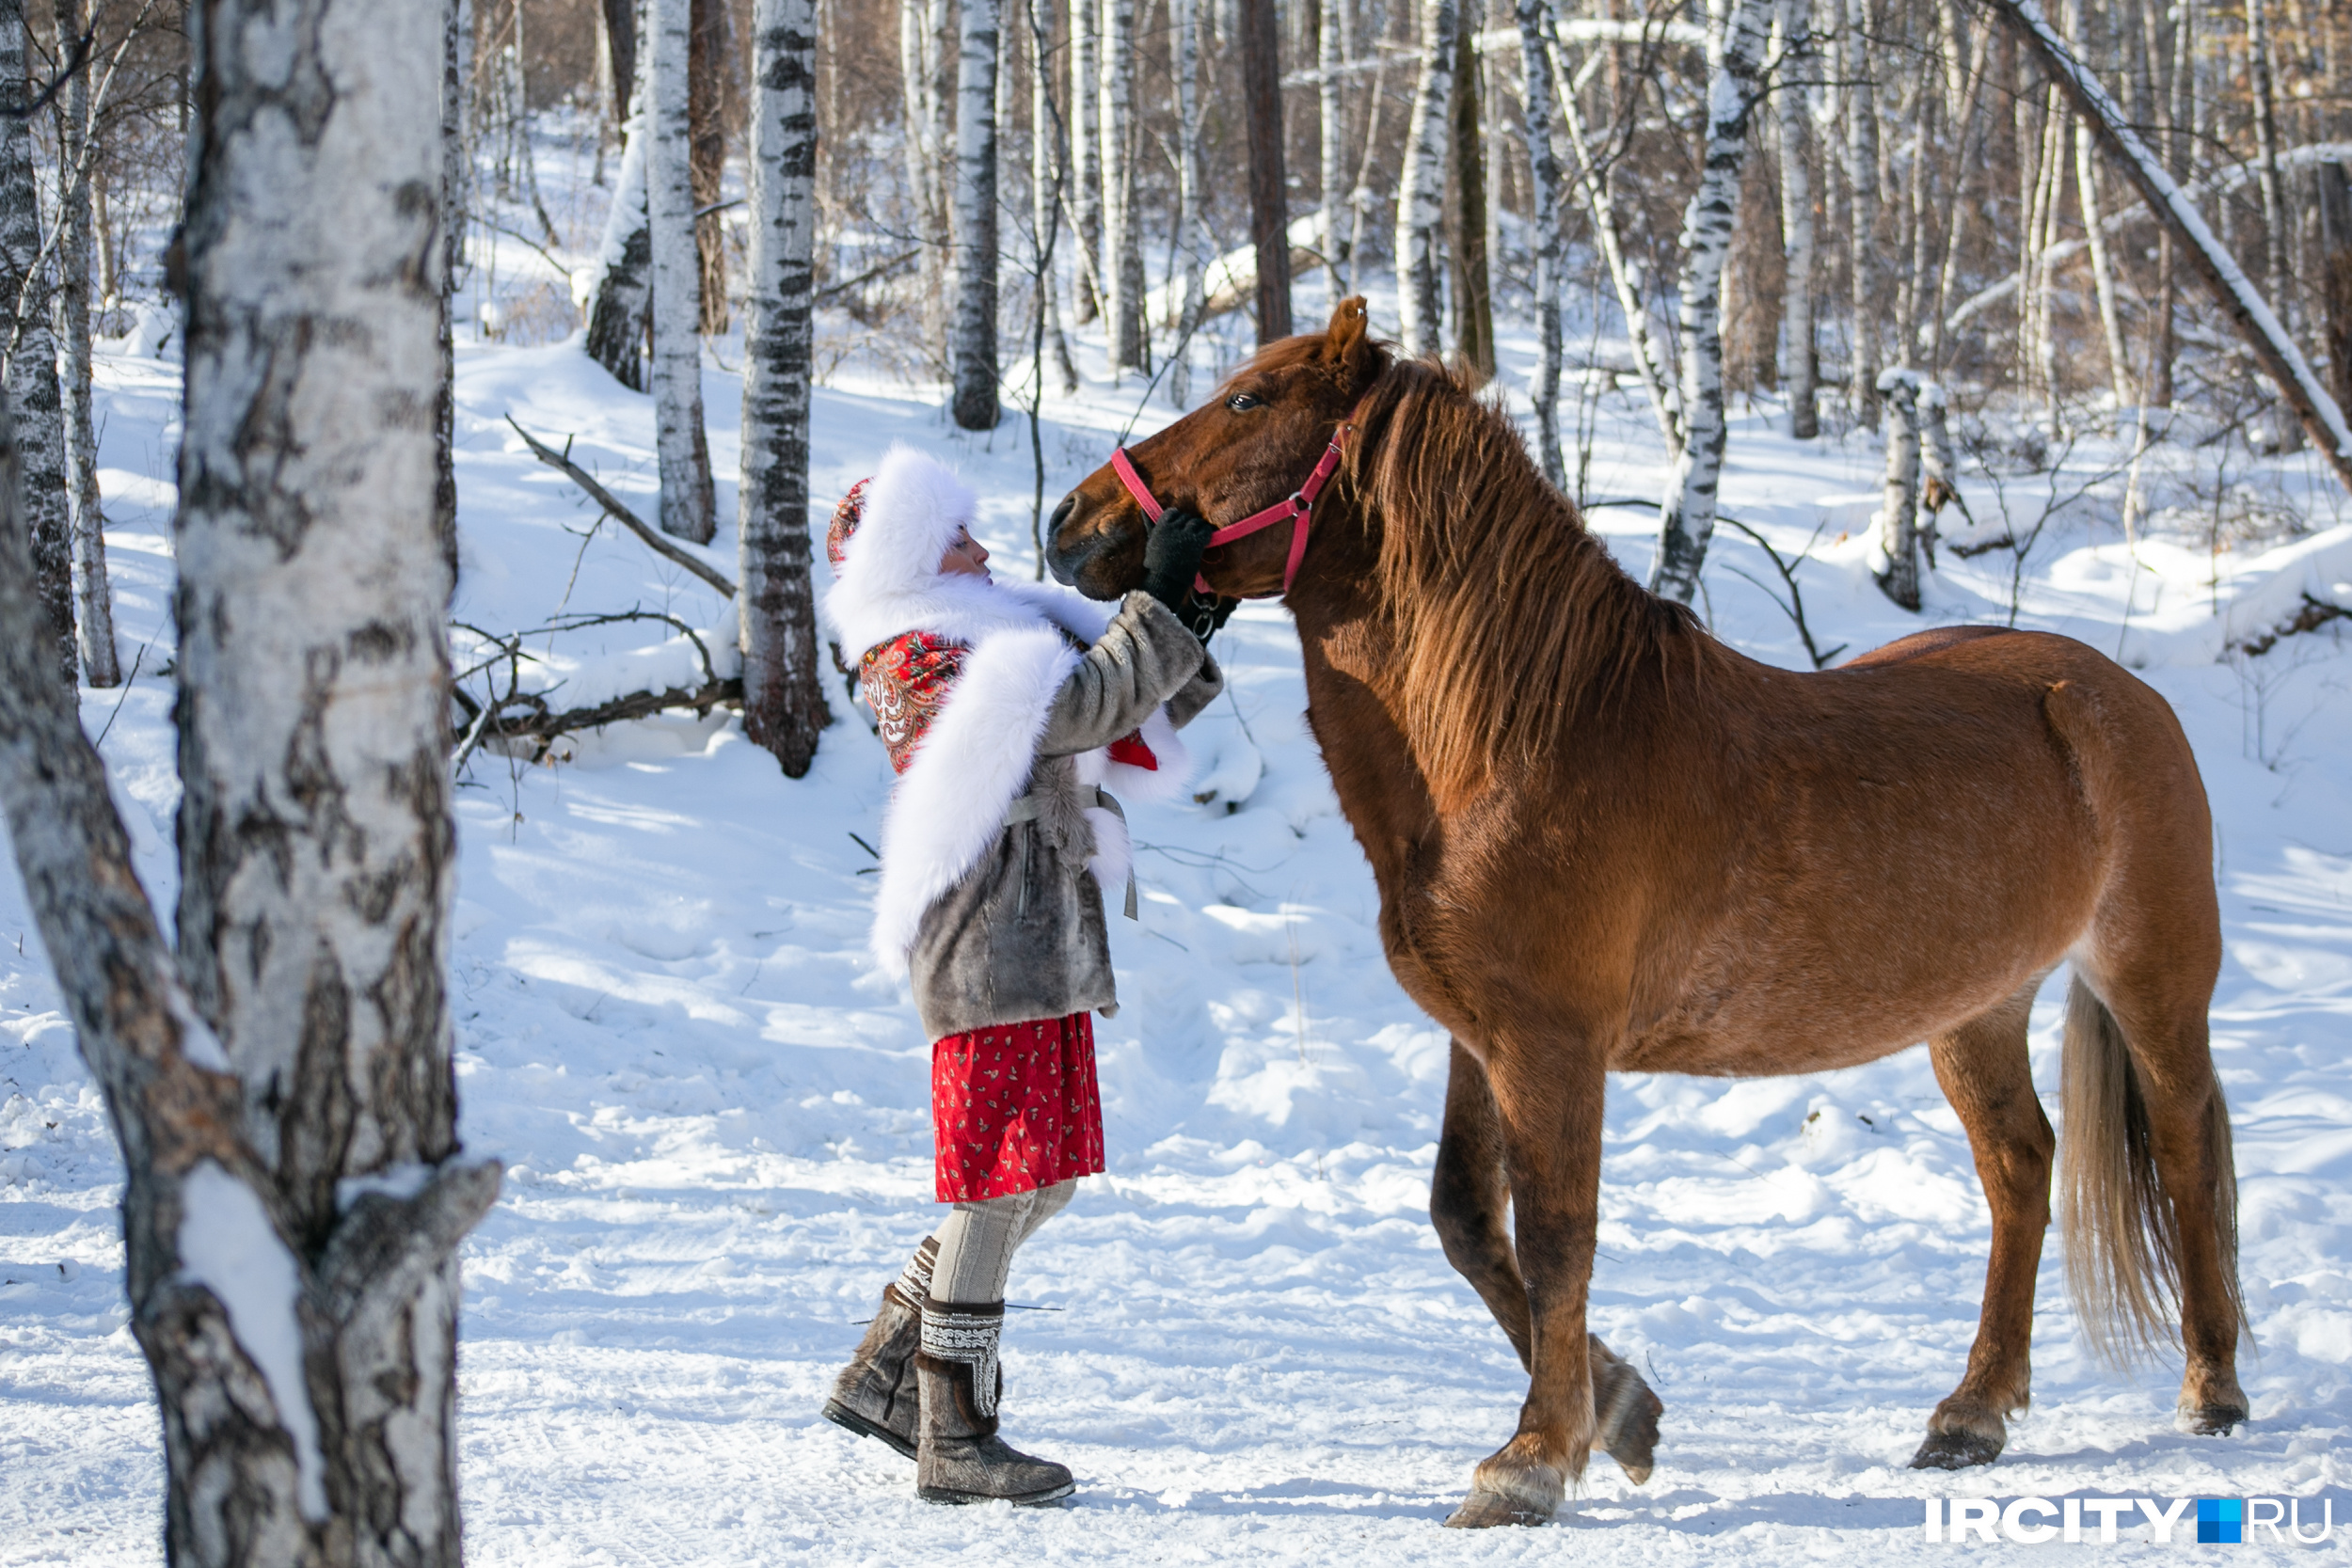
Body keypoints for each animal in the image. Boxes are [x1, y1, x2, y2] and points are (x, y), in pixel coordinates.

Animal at [1044, 297, 2239, 1532]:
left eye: (1246, 400)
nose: (1067, 522)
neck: (1521, 743)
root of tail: (2111, 693)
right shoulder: (1481, 1036)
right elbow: (1467, 1220)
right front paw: (1619, 1414)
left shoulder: (1552, 1044)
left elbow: (1555, 1232)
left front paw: (1529, 1458)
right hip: (1977, 1008)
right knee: (2020, 1165)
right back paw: (1972, 1412)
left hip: (2151, 978)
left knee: (2187, 1145)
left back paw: (2211, 1388)